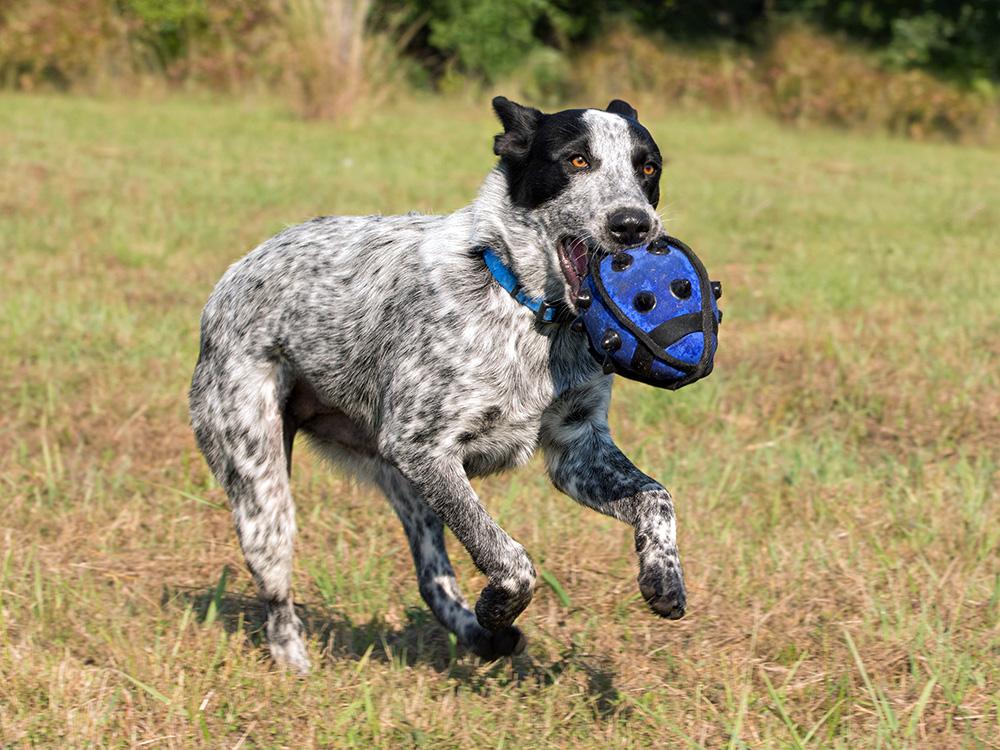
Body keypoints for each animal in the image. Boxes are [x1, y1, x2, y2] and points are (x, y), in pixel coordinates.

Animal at [188, 95, 688, 676]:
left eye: (647, 168)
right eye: (577, 160)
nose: (634, 225)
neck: (524, 308)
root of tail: (230, 278)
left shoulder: (576, 452)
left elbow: (657, 497)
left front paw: (662, 575)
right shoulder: (423, 449)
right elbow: (510, 559)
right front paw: (498, 604)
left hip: (412, 491)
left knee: (431, 579)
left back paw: (480, 636)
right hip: (263, 489)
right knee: (276, 591)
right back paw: (296, 664)